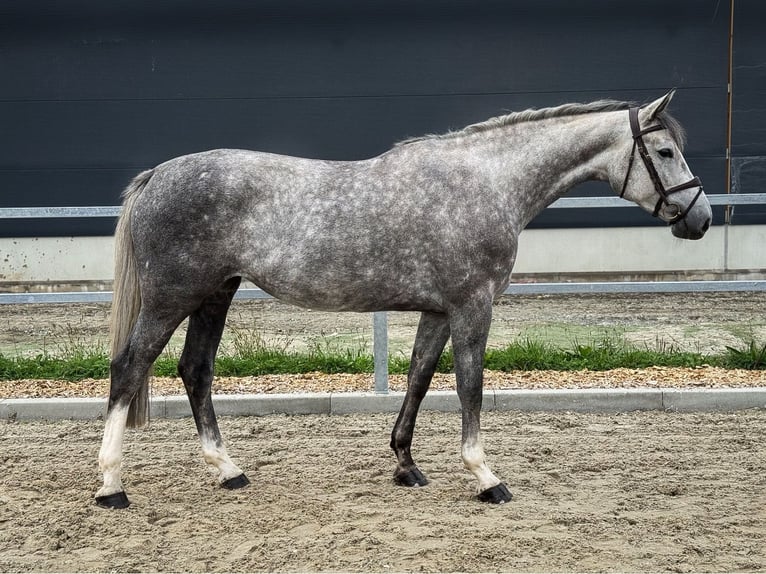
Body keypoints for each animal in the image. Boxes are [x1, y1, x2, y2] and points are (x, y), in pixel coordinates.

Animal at [96, 90, 712, 508]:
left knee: (195, 370)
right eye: (664, 151)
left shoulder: (437, 311)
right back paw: (111, 486)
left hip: (214, 295)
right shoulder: (471, 306)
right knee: (130, 367)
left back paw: (228, 471)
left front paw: (406, 466)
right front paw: (485, 477)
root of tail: (157, 177)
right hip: (172, 298)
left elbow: (418, 378)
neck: (486, 181)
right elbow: (469, 387)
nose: (701, 219)